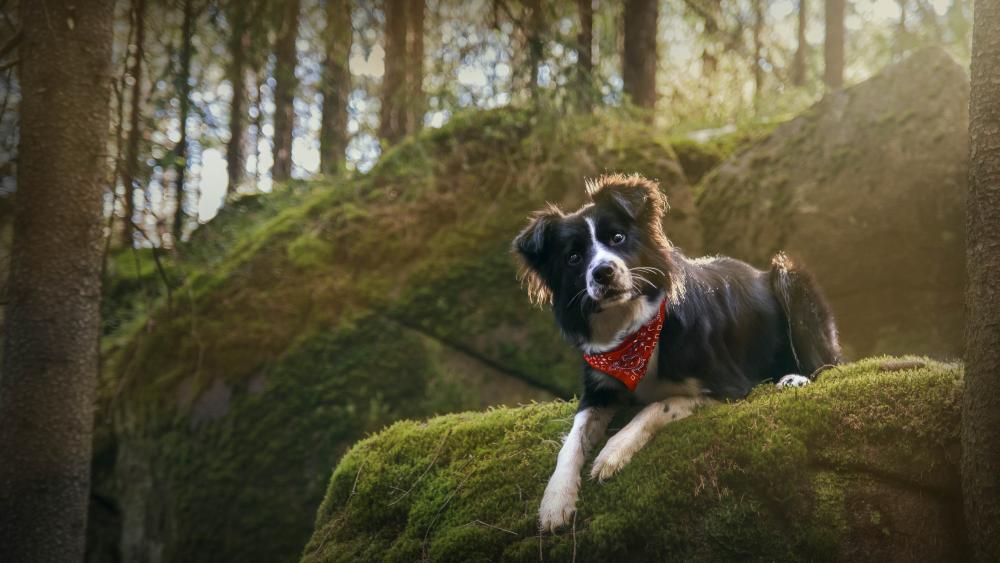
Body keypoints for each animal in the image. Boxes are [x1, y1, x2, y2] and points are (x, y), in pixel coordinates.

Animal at [512, 174, 840, 532]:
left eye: (617, 237)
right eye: (573, 258)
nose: (603, 272)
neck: (634, 332)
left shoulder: (729, 385)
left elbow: (659, 405)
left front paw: (613, 451)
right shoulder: (598, 389)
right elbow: (573, 439)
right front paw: (555, 500)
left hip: (789, 276)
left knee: (827, 364)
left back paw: (794, 379)